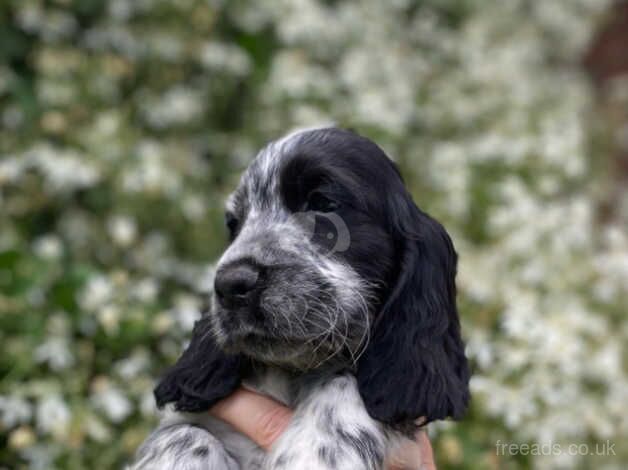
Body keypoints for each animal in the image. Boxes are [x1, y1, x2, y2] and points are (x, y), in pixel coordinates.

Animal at [131, 126, 466, 468]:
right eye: (234, 225)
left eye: (323, 202)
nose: (230, 284)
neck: (291, 375)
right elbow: (185, 434)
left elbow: (346, 379)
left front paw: (316, 450)